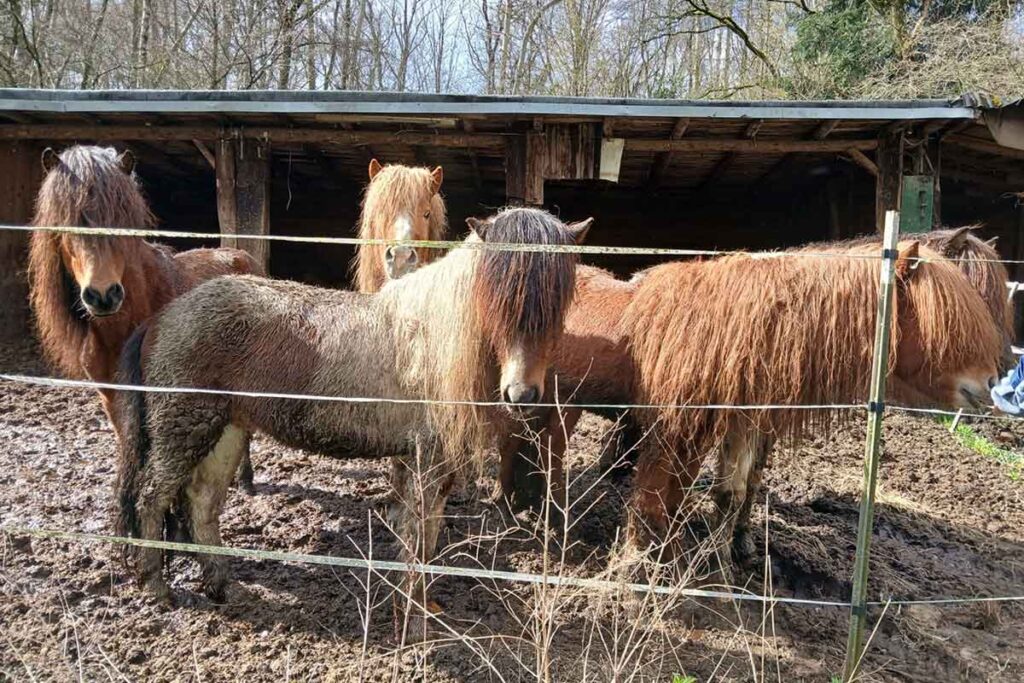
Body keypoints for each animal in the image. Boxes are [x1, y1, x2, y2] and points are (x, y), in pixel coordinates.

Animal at [112, 207, 589, 613]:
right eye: (498, 300)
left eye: (557, 303)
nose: (522, 394)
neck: (432, 338)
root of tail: (162, 318)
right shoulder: (428, 460)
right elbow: (420, 535)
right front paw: (415, 612)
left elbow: (423, 531)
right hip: (183, 429)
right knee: (152, 498)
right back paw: (157, 587)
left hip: (225, 431)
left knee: (202, 503)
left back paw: (219, 584)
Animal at [499, 231, 1007, 574]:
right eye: (948, 318)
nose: (990, 384)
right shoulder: (682, 429)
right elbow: (659, 493)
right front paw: (639, 562)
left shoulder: (743, 425)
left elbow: (732, 492)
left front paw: (717, 560)